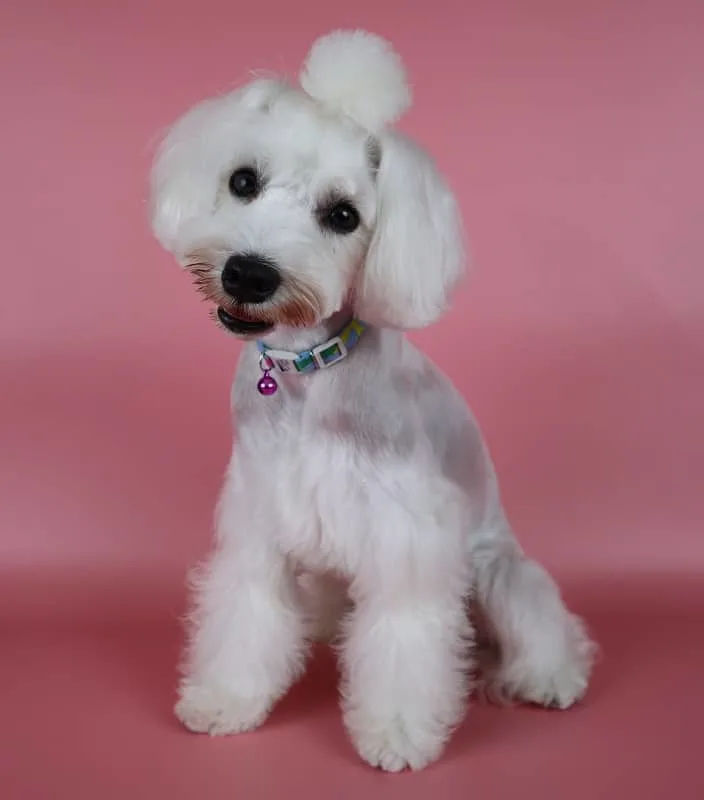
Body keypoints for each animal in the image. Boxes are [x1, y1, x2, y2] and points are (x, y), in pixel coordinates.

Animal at [151, 29, 596, 768]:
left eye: (343, 215)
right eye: (243, 180)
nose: (249, 273)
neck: (306, 373)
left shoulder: (406, 540)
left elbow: (403, 634)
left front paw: (395, 732)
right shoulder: (257, 521)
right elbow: (247, 609)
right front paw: (226, 698)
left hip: (496, 572)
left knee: (538, 623)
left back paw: (549, 675)